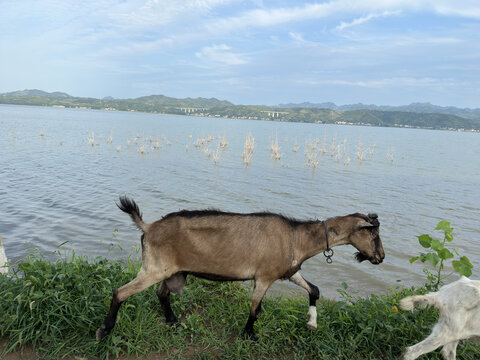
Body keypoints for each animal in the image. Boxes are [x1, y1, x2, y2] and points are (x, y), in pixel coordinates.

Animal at [95, 197, 384, 340]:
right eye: (373, 234)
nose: (380, 257)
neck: (296, 237)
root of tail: (148, 226)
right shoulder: (264, 277)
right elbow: (255, 310)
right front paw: (249, 335)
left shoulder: (288, 272)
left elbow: (314, 290)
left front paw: (312, 323)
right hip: (154, 268)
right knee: (120, 292)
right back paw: (105, 330)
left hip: (173, 272)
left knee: (161, 294)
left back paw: (173, 321)